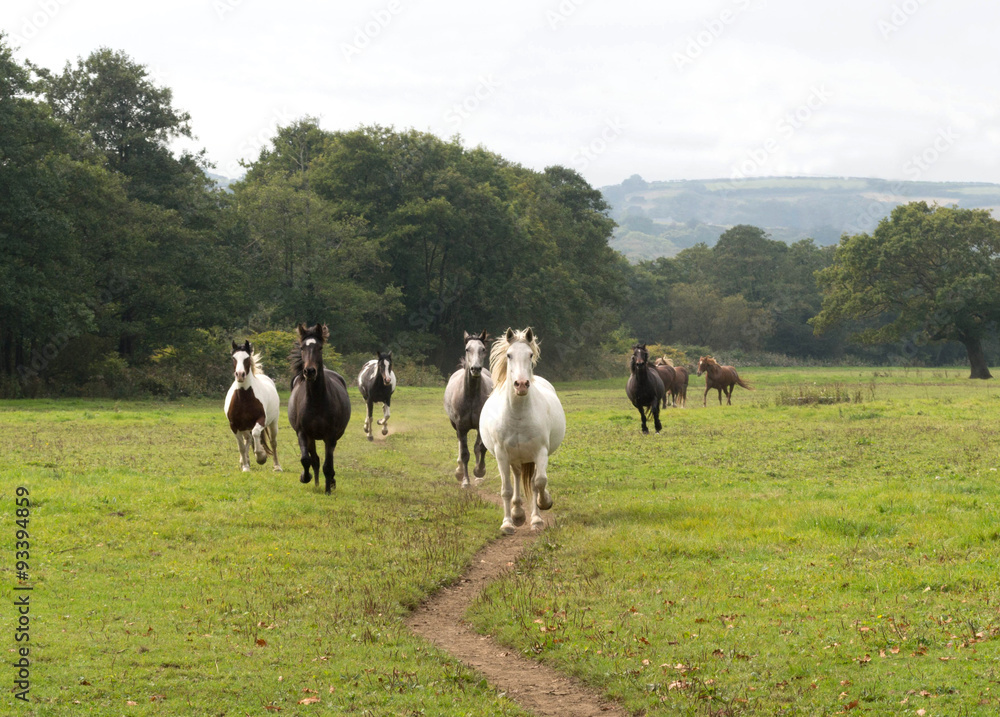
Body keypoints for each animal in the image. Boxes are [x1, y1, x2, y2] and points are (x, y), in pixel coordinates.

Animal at [224, 340, 282, 472]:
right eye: (233, 358)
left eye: (247, 358)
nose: (240, 375)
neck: (244, 398)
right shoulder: (234, 426)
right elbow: (241, 446)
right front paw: (245, 467)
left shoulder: (261, 420)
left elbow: (256, 434)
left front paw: (261, 456)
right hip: (245, 427)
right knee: (248, 440)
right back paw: (245, 461)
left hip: (273, 422)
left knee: (273, 442)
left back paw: (277, 466)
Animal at [287, 323, 352, 493]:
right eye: (302, 347)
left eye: (320, 347)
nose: (310, 371)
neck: (316, 401)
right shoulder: (303, 433)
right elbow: (306, 459)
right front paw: (305, 477)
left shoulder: (330, 436)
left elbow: (328, 465)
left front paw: (328, 489)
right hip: (312, 438)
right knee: (314, 459)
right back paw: (315, 482)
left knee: (328, 459)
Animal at [444, 331, 493, 488]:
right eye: (467, 349)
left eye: (483, 349)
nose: (475, 369)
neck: (470, 395)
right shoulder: (461, 427)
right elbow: (464, 453)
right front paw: (465, 480)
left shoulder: (480, 425)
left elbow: (480, 448)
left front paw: (479, 471)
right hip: (455, 426)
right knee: (460, 445)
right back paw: (459, 471)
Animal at [480, 328, 565, 534]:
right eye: (509, 355)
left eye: (530, 354)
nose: (521, 384)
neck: (518, 415)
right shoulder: (502, 455)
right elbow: (506, 490)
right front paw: (507, 523)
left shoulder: (540, 452)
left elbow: (539, 482)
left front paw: (543, 507)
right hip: (515, 458)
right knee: (517, 477)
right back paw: (518, 513)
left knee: (532, 481)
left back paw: (533, 516)